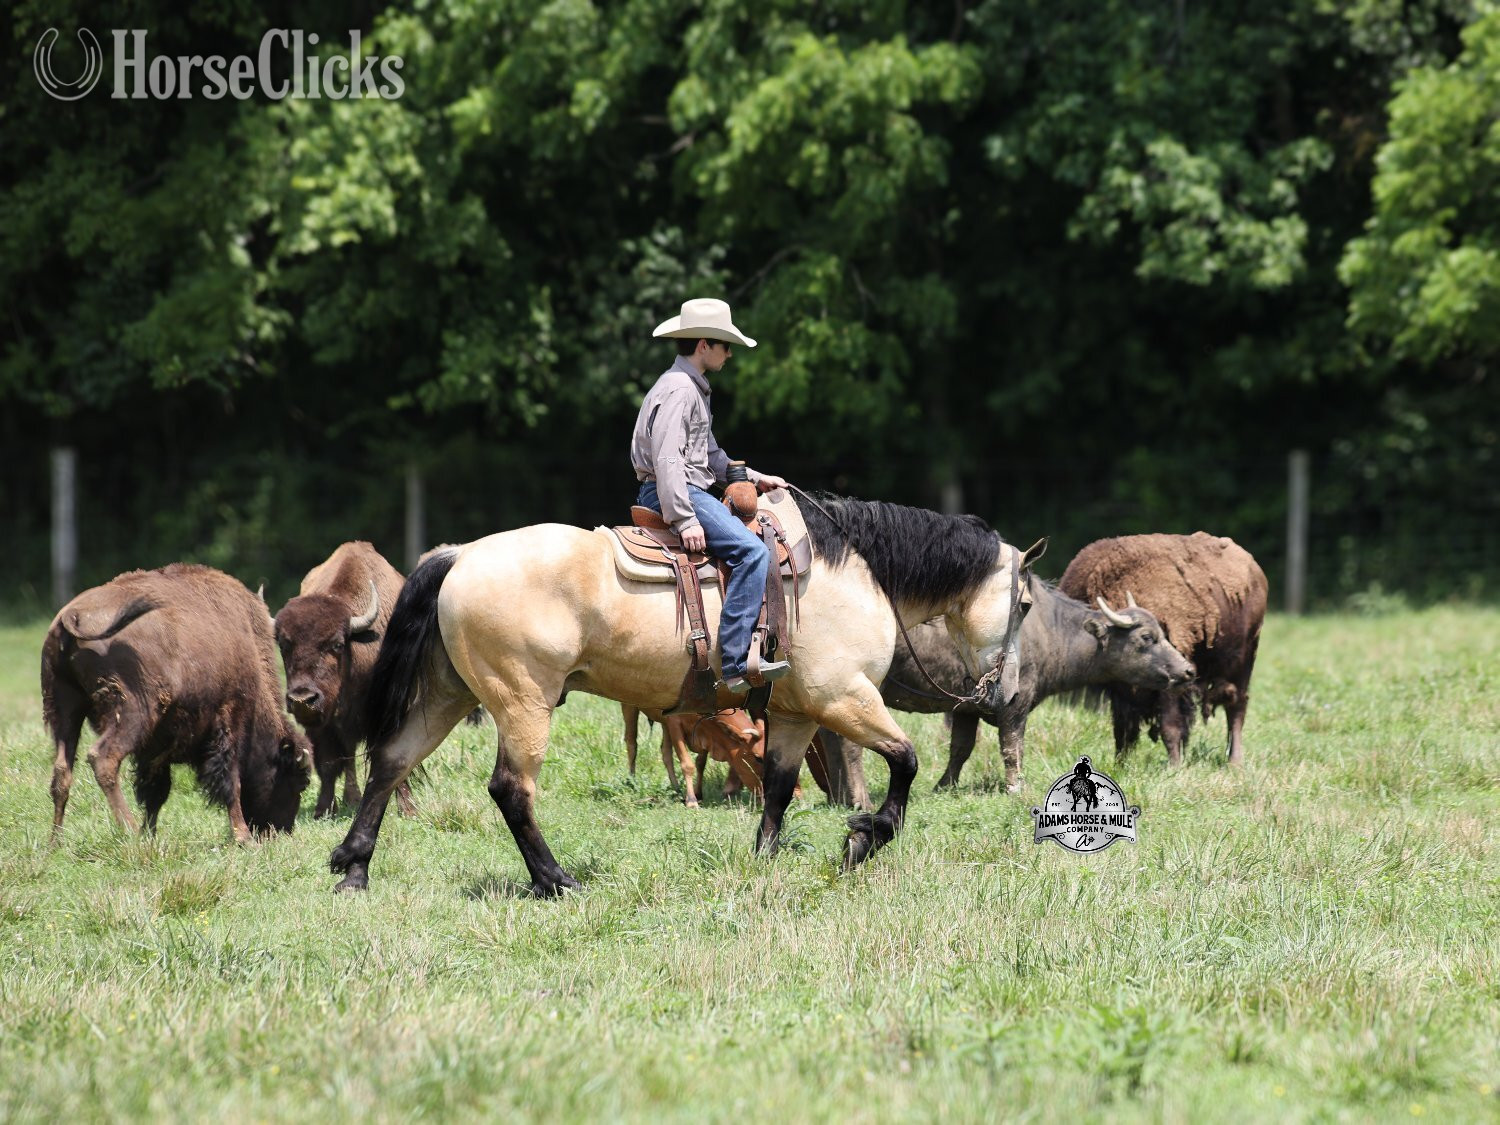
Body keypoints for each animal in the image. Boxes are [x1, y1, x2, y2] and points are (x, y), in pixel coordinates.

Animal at [329, 493, 1037, 896]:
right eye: (1025, 604)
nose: (1005, 691)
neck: (844, 571)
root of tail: (461, 555)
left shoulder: (796, 715)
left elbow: (777, 788)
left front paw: (765, 860)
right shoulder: (843, 699)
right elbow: (906, 760)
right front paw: (865, 838)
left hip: (447, 697)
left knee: (391, 761)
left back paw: (354, 868)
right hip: (523, 703)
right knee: (511, 790)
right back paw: (557, 881)